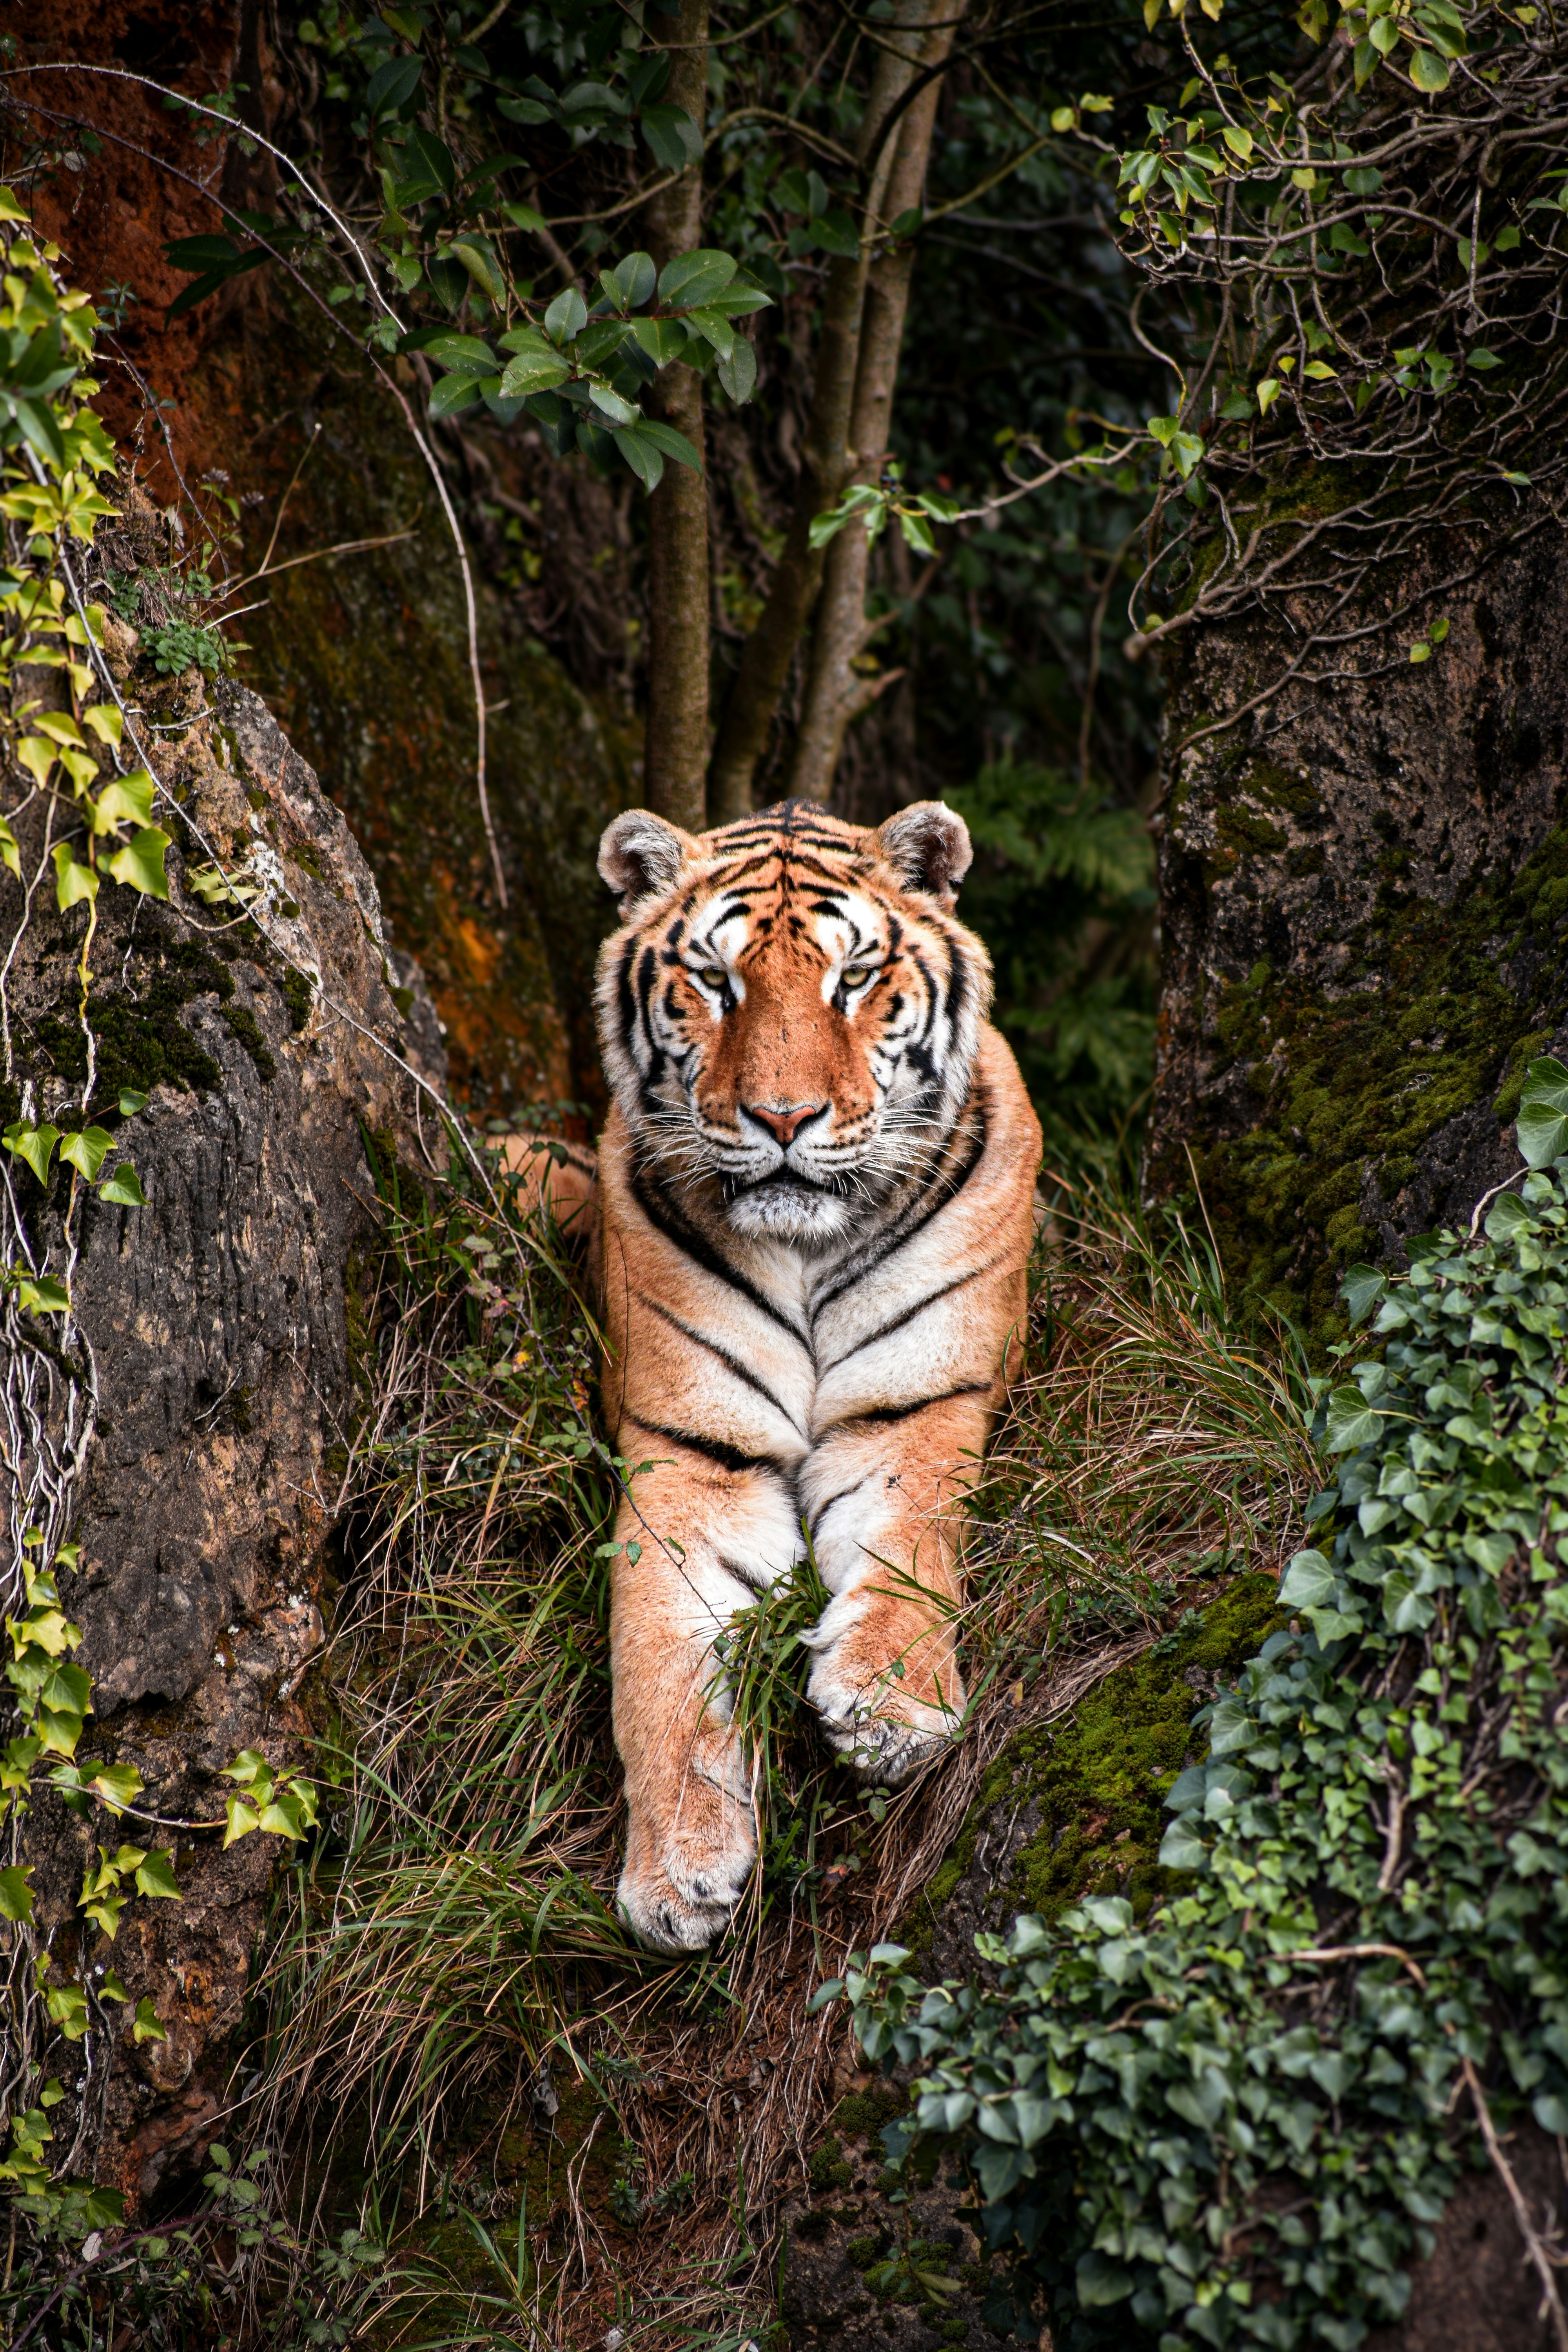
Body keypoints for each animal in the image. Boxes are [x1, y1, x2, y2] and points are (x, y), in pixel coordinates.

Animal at [511, 797, 1042, 1953]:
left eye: (854, 979)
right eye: (716, 982)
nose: (785, 1120)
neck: (803, 1249)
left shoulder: (916, 1406)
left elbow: (914, 1542)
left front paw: (891, 1708)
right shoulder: (691, 1452)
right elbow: (657, 1655)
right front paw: (677, 1869)